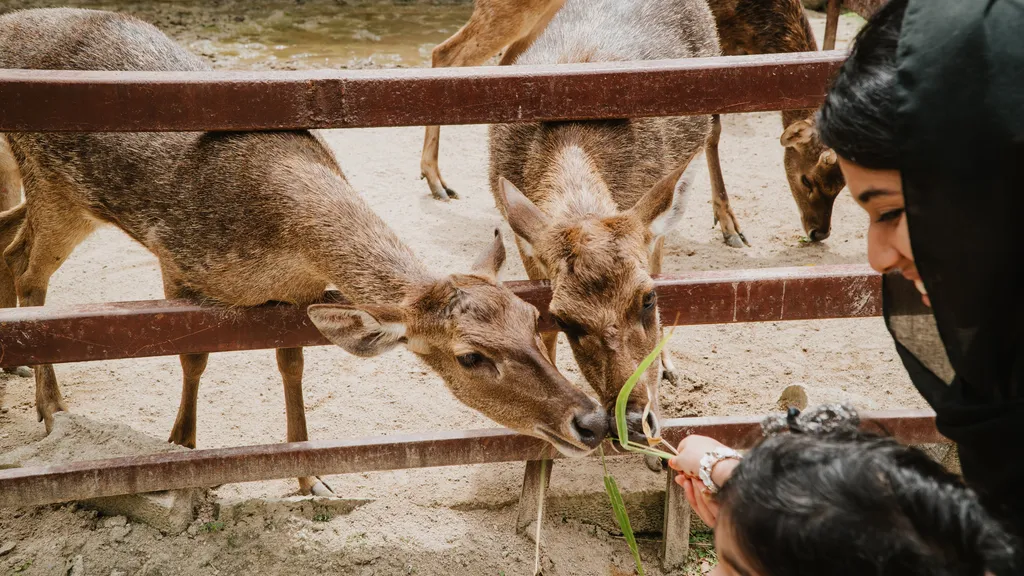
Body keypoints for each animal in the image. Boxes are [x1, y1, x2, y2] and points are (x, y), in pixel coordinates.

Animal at [0, 7, 606, 494]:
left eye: (533, 317)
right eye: (470, 356)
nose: (593, 422)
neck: (275, 243)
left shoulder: (299, 292)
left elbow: (292, 364)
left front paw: (310, 475)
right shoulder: (175, 258)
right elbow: (193, 355)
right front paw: (183, 449)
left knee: (12, 244)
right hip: (56, 186)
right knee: (32, 273)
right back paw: (51, 408)